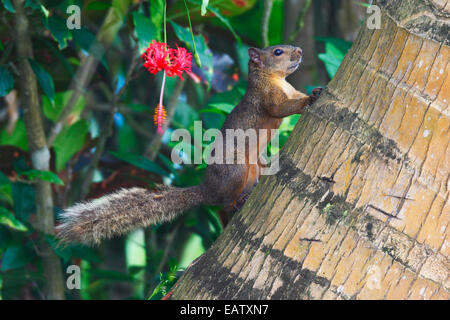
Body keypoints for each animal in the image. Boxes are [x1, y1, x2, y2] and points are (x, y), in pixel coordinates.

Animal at [57, 45, 324, 245]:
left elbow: (294, 98)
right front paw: (311, 99)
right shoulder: (266, 99)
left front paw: (316, 89)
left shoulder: (289, 90)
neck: (275, 79)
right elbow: (282, 108)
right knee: (224, 204)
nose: (300, 51)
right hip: (235, 170)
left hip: (254, 167)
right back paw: (236, 202)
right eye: (278, 51)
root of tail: (208, 189)